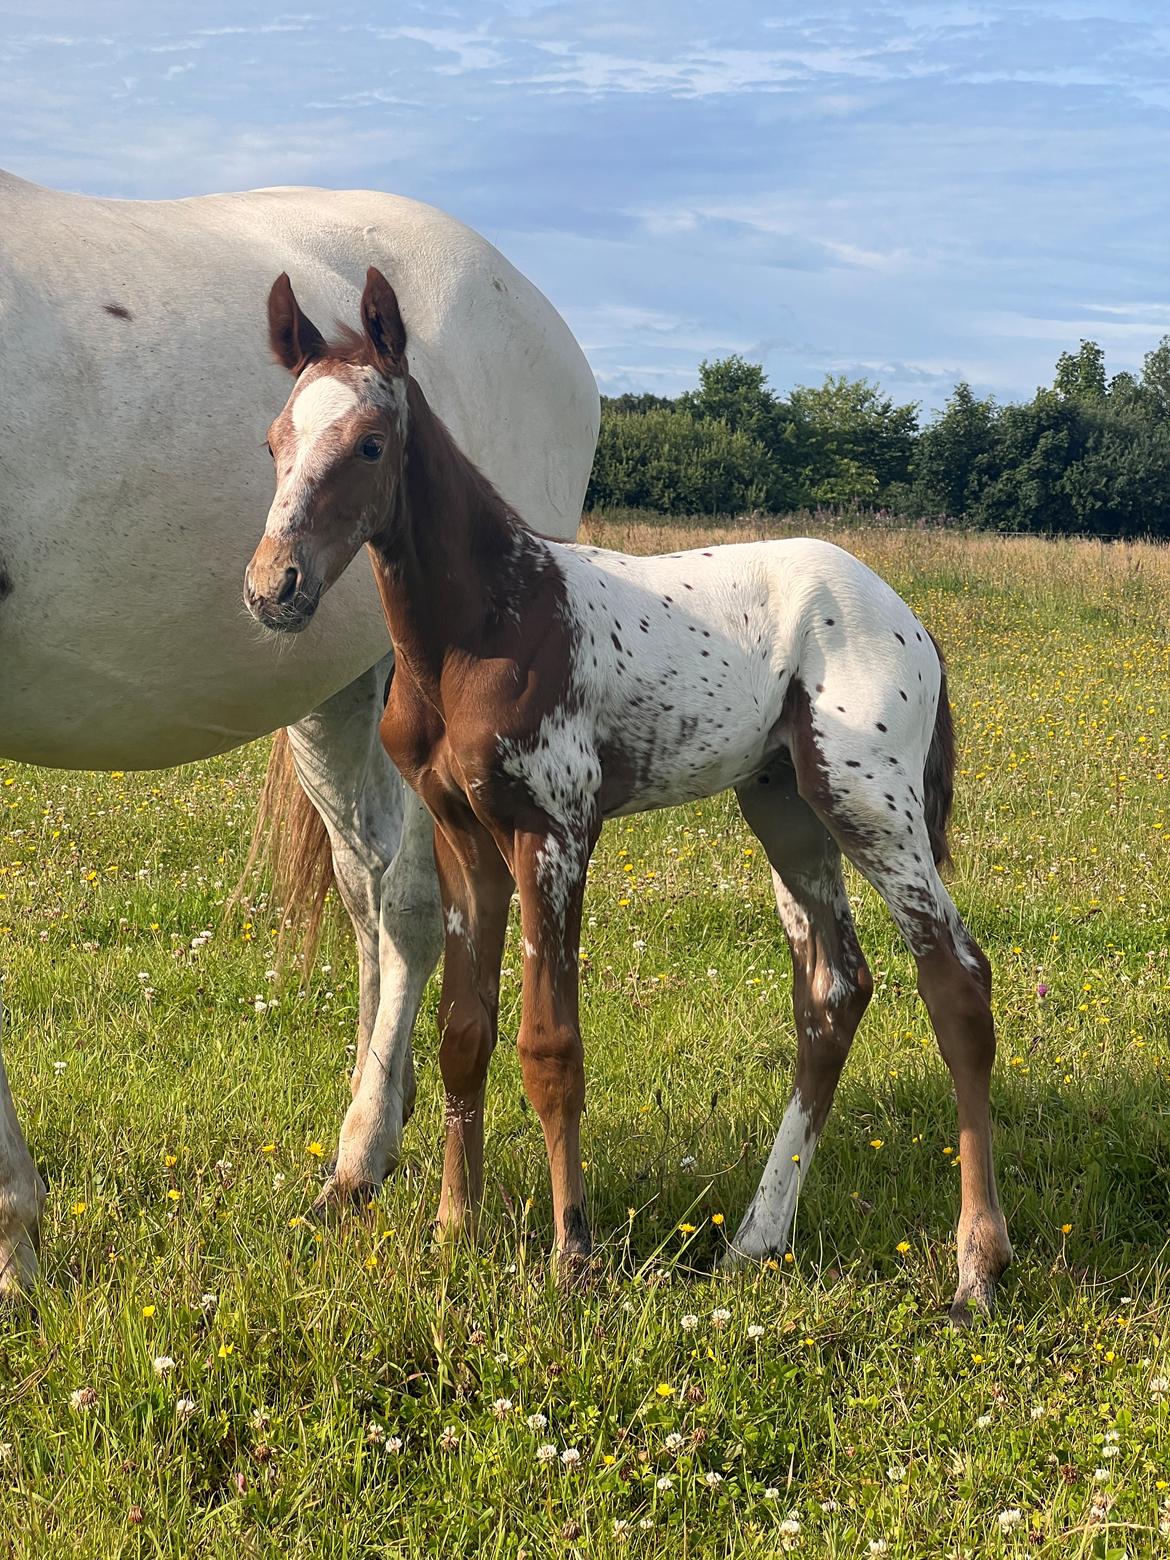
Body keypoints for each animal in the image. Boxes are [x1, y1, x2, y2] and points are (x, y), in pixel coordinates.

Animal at [0, 164, 595, 1297]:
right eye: (271, 444)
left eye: (366, 443)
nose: (267, 582)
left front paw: (15, 1238)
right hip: (343, 694)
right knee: (372, 896)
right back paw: (375, 1132)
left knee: (412, 906)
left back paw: (363, 1157)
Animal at [248, 271, 1017, 1329]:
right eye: (274, 442)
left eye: (368, 444)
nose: (271, 588)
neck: (490, 620)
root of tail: (906, 615)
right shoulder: (463, 836)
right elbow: (463, 1034)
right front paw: (453, 1232)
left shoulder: (557, 832)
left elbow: (551, 1047)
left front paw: (573, 1256)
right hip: (785, 809)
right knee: (834, 990)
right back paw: (754, 1241)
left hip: (872, 804)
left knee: (957, 982)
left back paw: (977, 1267)